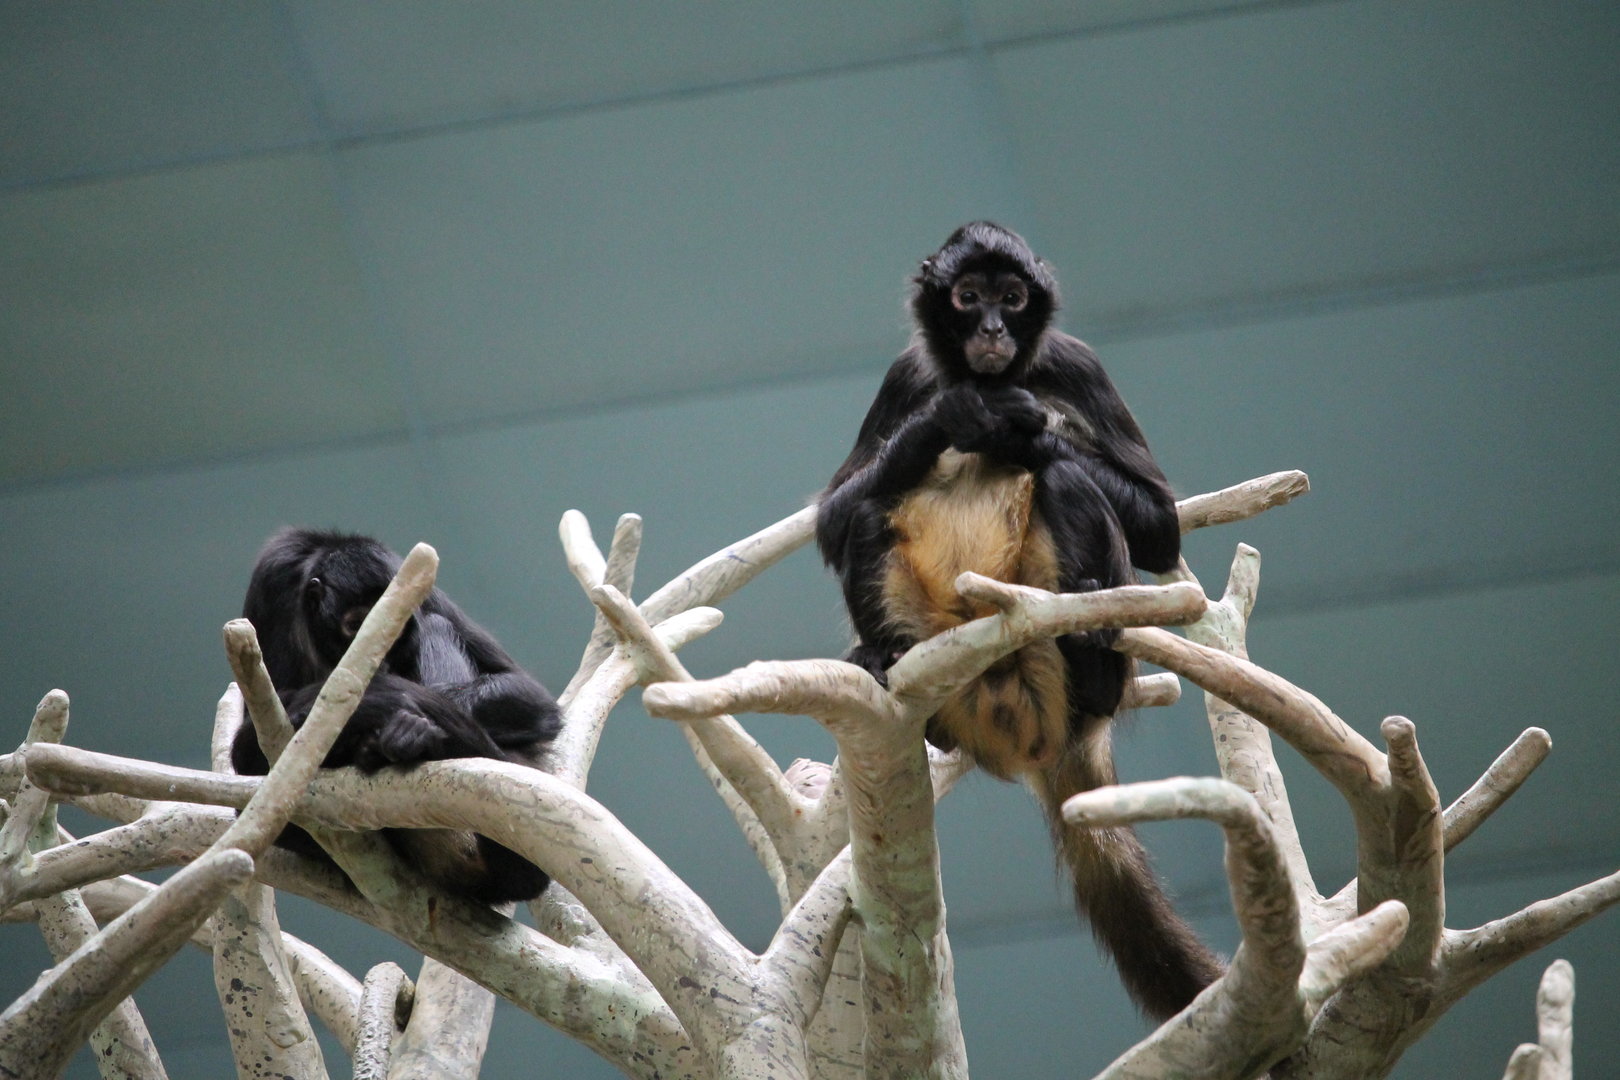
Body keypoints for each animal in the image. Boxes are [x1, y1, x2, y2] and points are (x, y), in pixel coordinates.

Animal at [231, 527, 561, 905]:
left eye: (397, 629)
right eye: (356, 626)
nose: (382, 662)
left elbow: (532, 697)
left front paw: (399, 718)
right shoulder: (275, 575)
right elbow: (247, 752)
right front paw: (379, 705)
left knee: (436, 624)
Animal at [816, 222, 1222, 1019]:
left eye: (1012, 297)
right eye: (968, 297)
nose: (994, 331)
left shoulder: (1073, 361)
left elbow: (1160, 528)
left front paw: (1012, 434)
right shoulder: (906, 374)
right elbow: (834, 520)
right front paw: (949, 419)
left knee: (1066, 478)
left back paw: (1092, 656)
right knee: (874, 508)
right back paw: (882, 660)